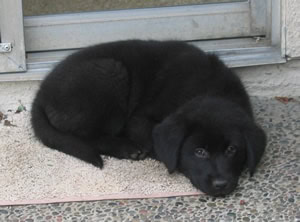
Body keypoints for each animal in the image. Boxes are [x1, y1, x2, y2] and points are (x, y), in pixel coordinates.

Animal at [31, 40, 266, 196]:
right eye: (199, 152)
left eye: (232, 150)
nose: (221, 185)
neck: (209, 89)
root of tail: (41, 93)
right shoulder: (138, 120)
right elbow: (155, 143)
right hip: (111, 72)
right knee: (87, 135)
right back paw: (125, 148)